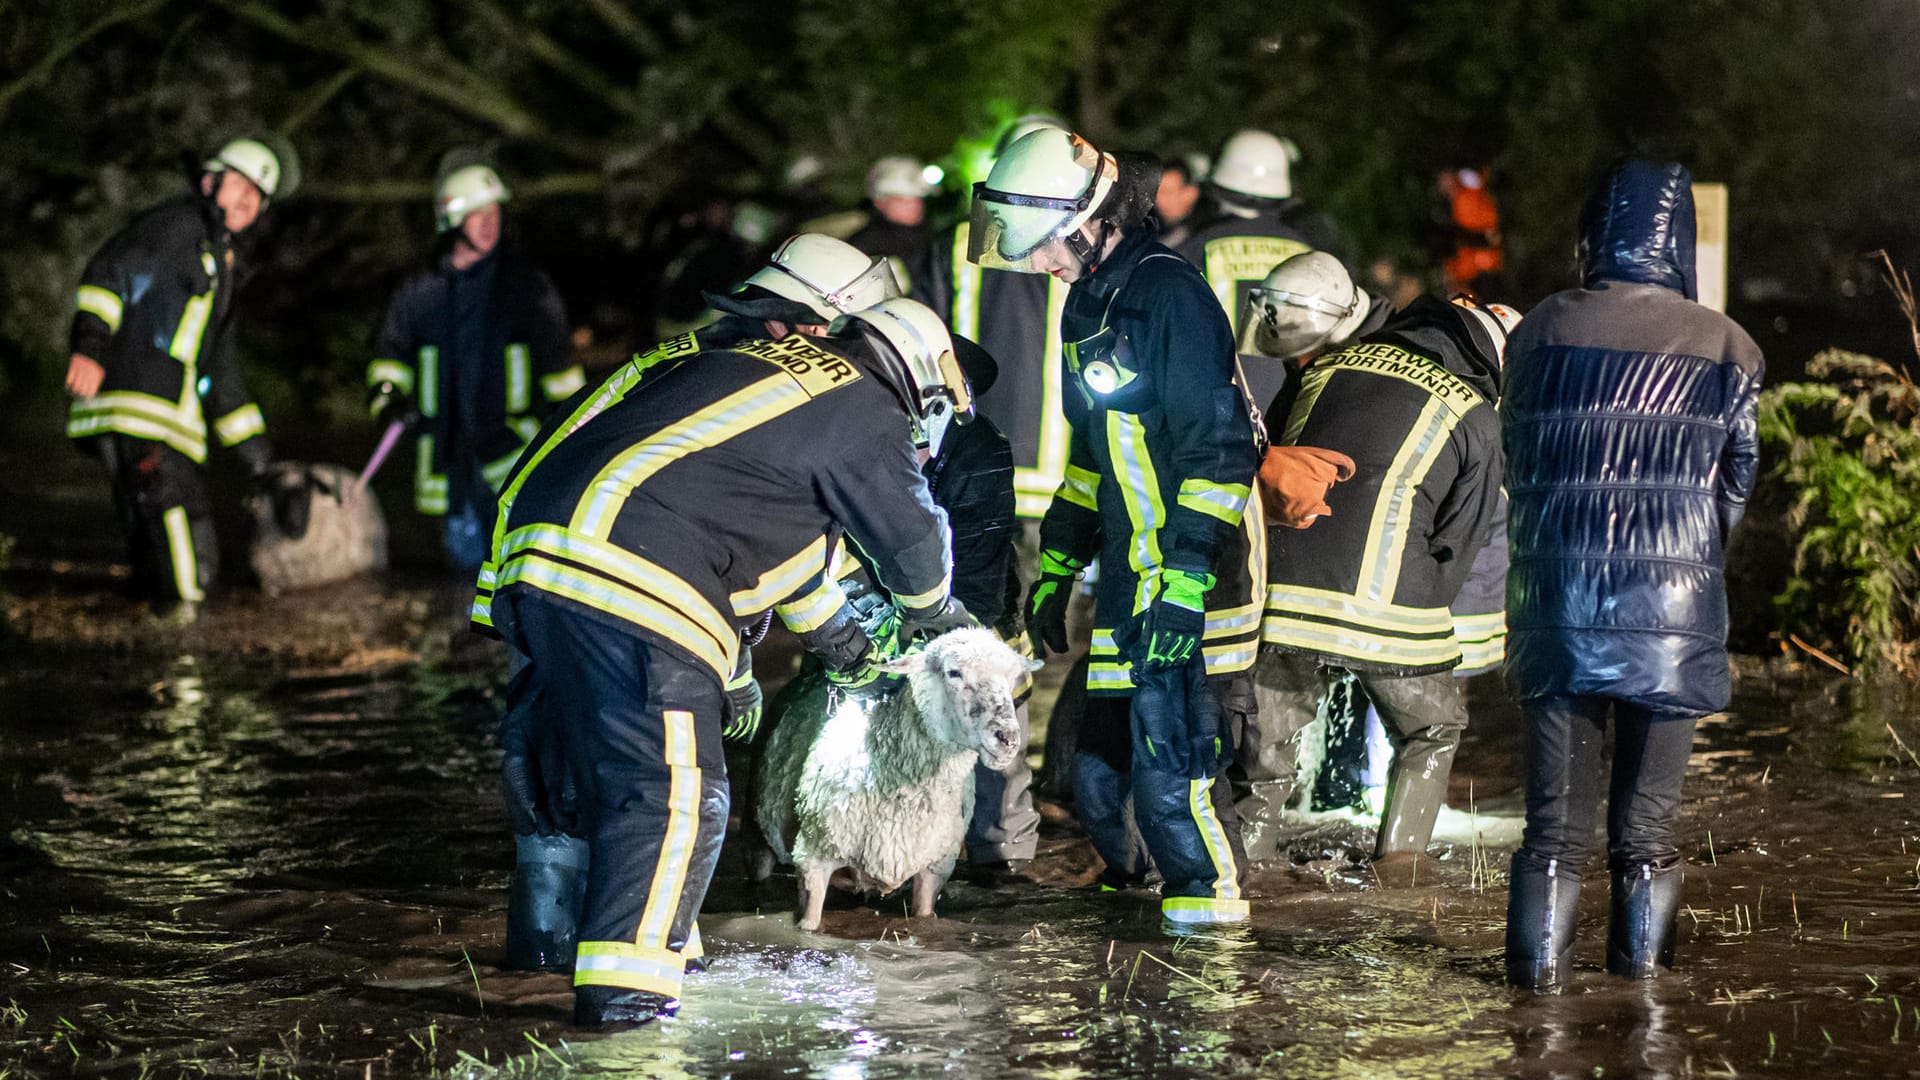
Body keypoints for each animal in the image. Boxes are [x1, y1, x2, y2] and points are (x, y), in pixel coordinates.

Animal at [748, 626, 1036, 930]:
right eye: (953, 672)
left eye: (1012, 677)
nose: (1008, 738)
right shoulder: (812, 858)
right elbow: (809, 924)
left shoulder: (935, 867)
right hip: (757, 832)